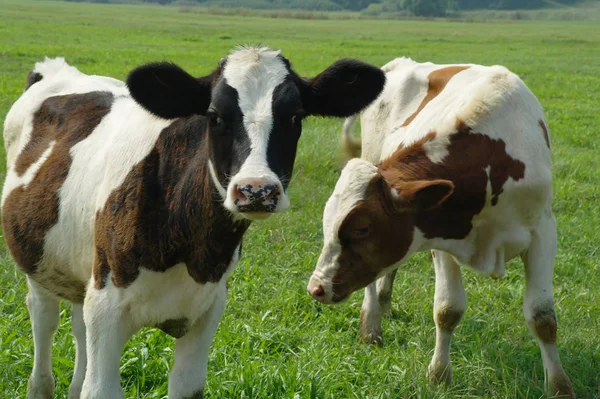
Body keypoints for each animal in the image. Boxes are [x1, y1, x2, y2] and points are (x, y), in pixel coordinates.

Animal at [1, 47, 384, 399]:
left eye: (296, 116)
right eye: (214, 116)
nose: (256, 189)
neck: (190, 248)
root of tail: (56, 69)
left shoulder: (207, 310)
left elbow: (186, 383)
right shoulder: (107, 306)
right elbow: (99, 387)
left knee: (78, 325)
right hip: (40, 262)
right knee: (44, 317)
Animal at [308, 57, 576, 398]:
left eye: (362, 230)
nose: (316, 288)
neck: (491, 161)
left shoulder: (543, 233)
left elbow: (543, 318)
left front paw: (559, 385)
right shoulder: (441, 237)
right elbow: (447, 310)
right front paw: (439, 375)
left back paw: (384, 303)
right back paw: (372, 324)